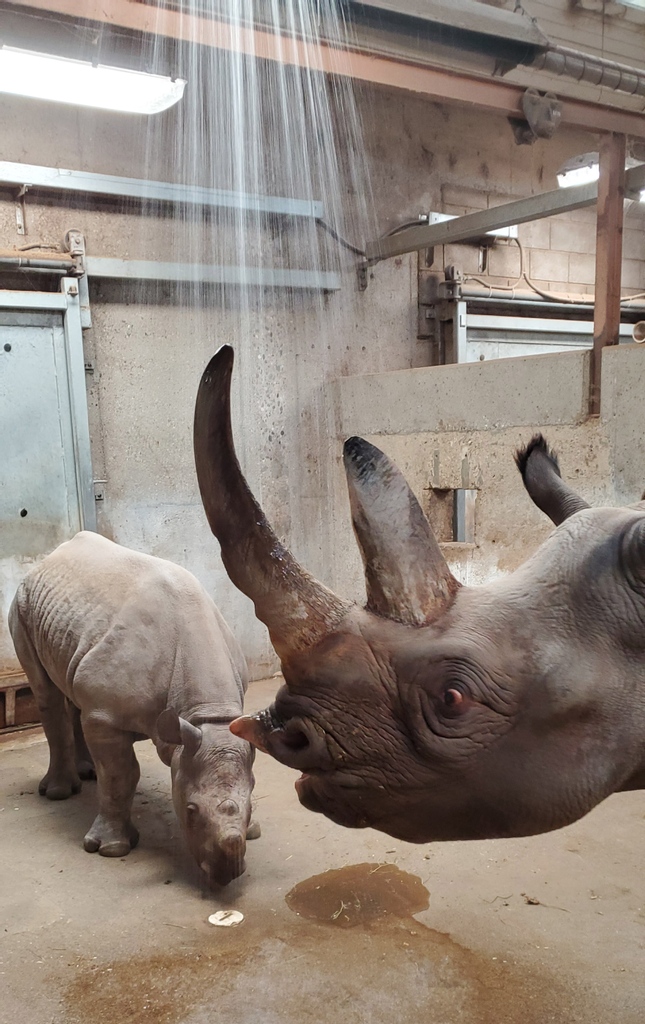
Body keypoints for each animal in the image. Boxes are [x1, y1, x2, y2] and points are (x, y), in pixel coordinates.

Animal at [9, 532, 259, 886]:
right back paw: (58, 792)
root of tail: (49, 558)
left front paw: (251, 832)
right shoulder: (107, 717)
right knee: (47, 692)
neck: (205, 716)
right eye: (190, 810)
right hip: (22, 602)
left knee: (74, 693)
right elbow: (120, 774)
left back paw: (87, 773)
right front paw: (111, 849)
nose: (228, 873)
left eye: (252, 801)